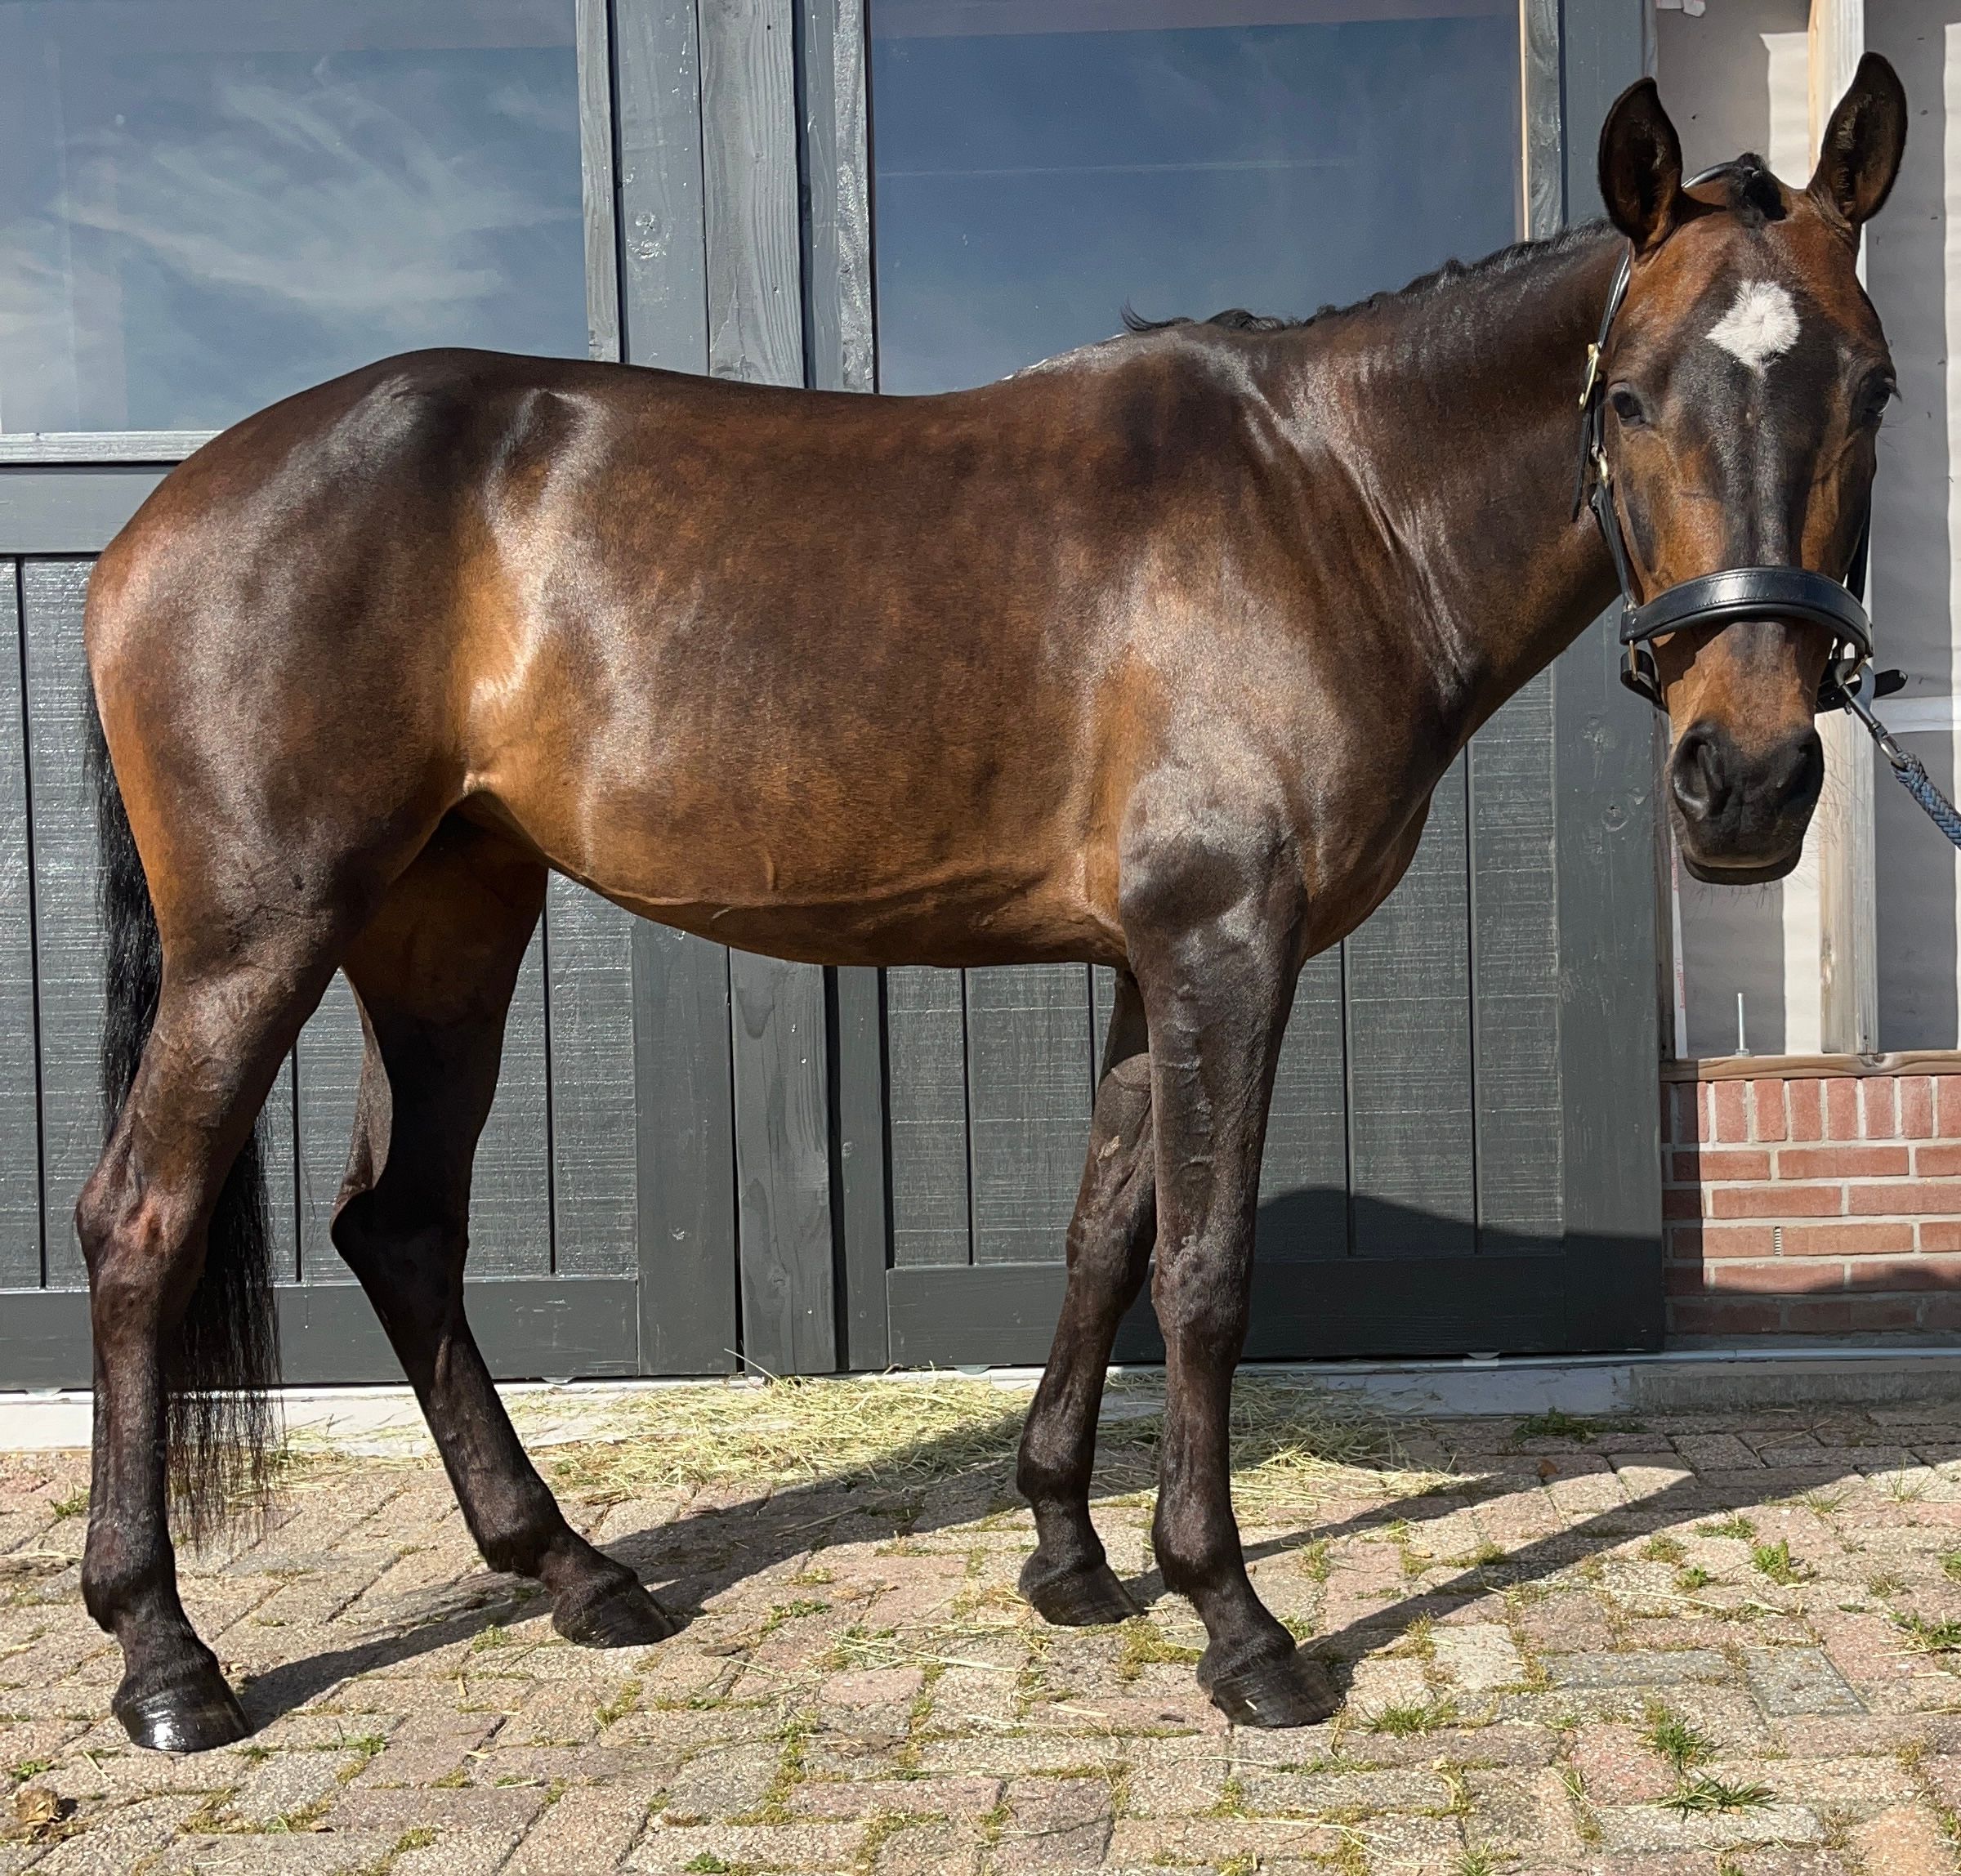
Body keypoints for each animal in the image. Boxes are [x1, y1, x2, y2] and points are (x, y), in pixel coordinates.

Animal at [76, 58, 1908, 1750]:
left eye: (1877, 390)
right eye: (1633, 397)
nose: (1748, 781)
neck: (1333, 503)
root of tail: (157, 516)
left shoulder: (1147, 961)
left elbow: (1106, 1234)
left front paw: (1068, 1553)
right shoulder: (1226, 946)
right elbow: (1207, 1267)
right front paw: (1234, 1618)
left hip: (447, 919)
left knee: (402, 1225)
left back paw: (576, 1572)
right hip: (264, 936)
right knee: (141, 1225)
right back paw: (166, 1657)